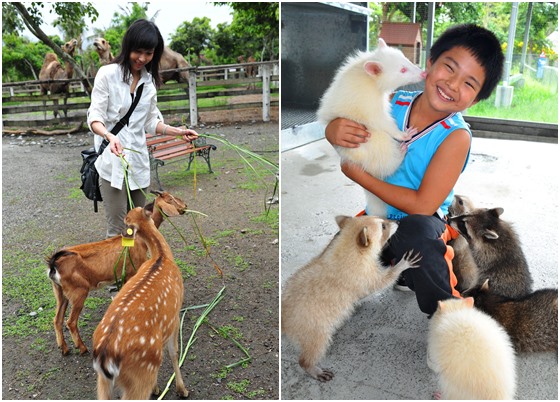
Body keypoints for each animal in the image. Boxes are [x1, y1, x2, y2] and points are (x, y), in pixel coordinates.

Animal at [91, 206, 188, 400]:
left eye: (132, 212)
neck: (162, 256)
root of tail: (105, 357)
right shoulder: (175, 317)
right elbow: (174, 352)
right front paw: (182, 389)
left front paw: (157, 388)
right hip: (140, 373)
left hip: (103, 382)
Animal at [284, 215, 420, 382]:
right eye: (383, 227)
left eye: (382, 220)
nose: (398, 222)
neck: (348, 245)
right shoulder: (361, 273)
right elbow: (381, 282)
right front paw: (401, 266)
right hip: (312, 327)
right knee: (316, 346)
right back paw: (309, 366)